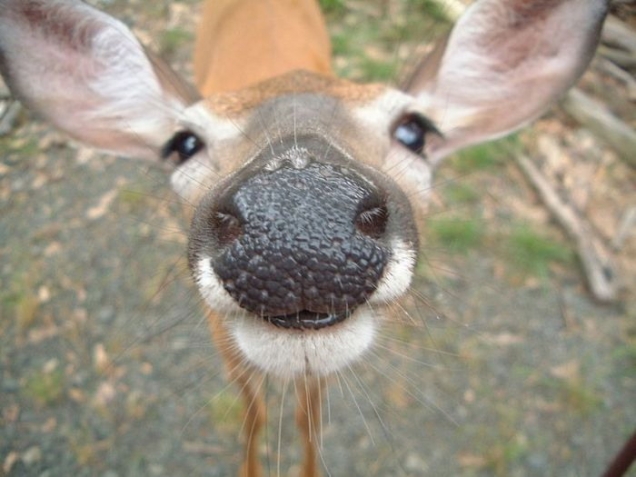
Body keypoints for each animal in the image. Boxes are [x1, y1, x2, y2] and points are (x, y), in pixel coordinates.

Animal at [1, 0, 612, 474]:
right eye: (183, 143)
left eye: (415, 130)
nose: (299, 223)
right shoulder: (220, 335)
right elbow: (252, 413)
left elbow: (308, 416)